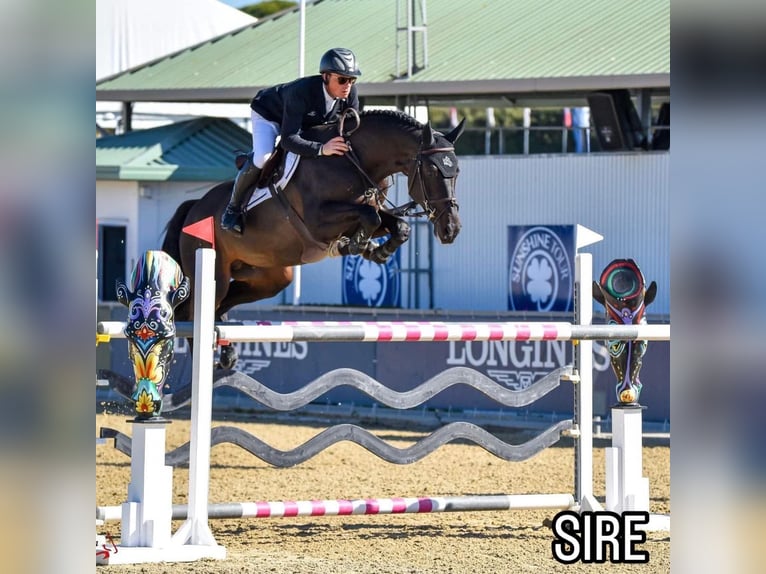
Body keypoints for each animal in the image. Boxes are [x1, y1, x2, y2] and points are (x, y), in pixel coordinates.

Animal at [160, 108, 468, 368]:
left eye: (456, 171)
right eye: (432, 170)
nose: (451, 229)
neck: (353, 161)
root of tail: (194, 207)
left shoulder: (368, 210)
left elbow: (395, 224)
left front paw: (375, 250)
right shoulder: (318, 221)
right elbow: (371, 216)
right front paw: (356, 245)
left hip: (269, 278)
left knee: (221, 305)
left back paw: (228, 354)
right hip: (214, 271)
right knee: (192, 313)